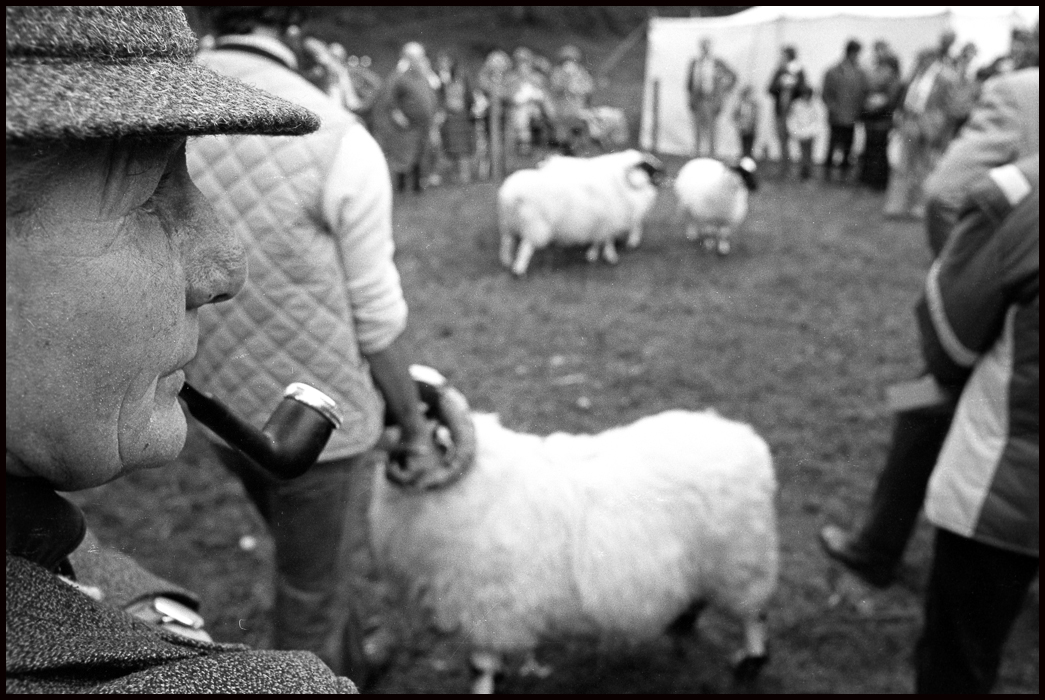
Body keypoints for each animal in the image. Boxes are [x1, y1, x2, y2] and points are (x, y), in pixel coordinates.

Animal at [369, 407, 778, 693]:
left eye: (418, 428)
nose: (389, 459)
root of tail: (746, 439)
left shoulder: (488, 606)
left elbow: (481, 665)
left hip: (741, 561)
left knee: (753, 615)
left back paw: (749, 661)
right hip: (705, 564)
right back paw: (682, 623)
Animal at [497, 149, 665, 277]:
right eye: (648, 167)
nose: (664, 171)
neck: (622, 182)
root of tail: (512, 193)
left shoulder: (600, 219)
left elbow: (600, 238)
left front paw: (592, 255)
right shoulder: (609, 217)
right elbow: (607, 239)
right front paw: (610, 257)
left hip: (509, 222)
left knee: (506, 242)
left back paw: (506, 262)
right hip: (535, 224)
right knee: (525, 247)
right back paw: (519, 270)